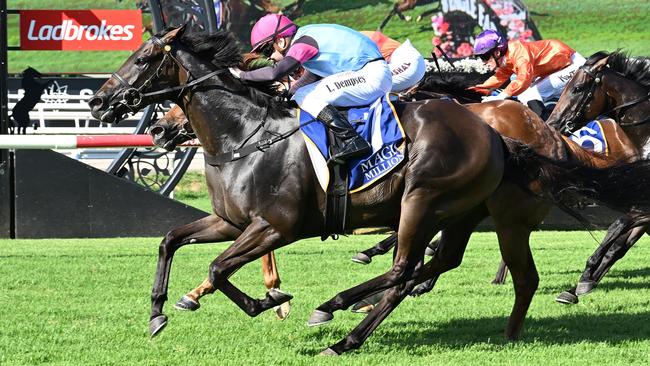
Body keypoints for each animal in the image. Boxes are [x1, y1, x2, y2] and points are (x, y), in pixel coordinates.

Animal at [544, 50, 650, 304]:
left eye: (577, 88)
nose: (552, 123)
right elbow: (617, 245)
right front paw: (577, 286)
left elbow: (616, 229)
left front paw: (587, 274)